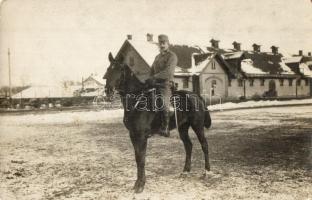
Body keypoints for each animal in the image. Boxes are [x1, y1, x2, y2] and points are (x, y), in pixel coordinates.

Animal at [105, 52, 212, 193]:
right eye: (108, 69)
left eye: (120, 70)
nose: (108, 91)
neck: (137, 101)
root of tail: (196, 96)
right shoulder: (133, 135)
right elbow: (137, 158)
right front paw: (137, 183)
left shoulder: (141, 136)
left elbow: (141, 159)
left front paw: (140, 185)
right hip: (183, 127)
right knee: (188, 145)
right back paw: (185, 171)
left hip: (197, 126)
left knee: (204, 145)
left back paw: (207, 172)